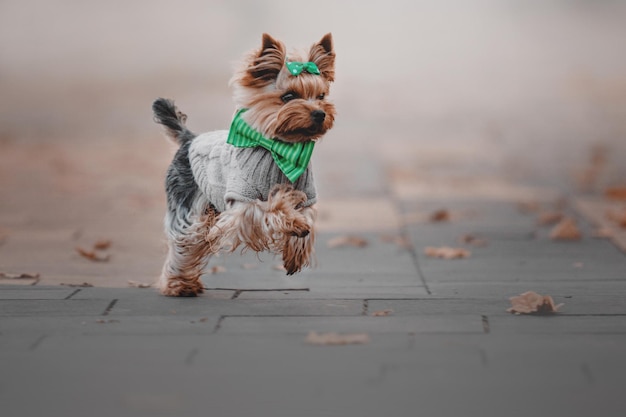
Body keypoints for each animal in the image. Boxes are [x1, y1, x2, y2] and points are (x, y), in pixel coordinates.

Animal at [151, 34, 334, 298]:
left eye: (321, 96)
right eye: (288, 96)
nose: (320, 114)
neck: (280, 150)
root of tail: (189, 139)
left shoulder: (307, 196)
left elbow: (305, 218)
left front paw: (295, 253)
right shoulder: (242, 206)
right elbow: (270, 207)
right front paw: (293, 222)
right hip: (187, 204)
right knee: (185, 241)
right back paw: (178, 285)